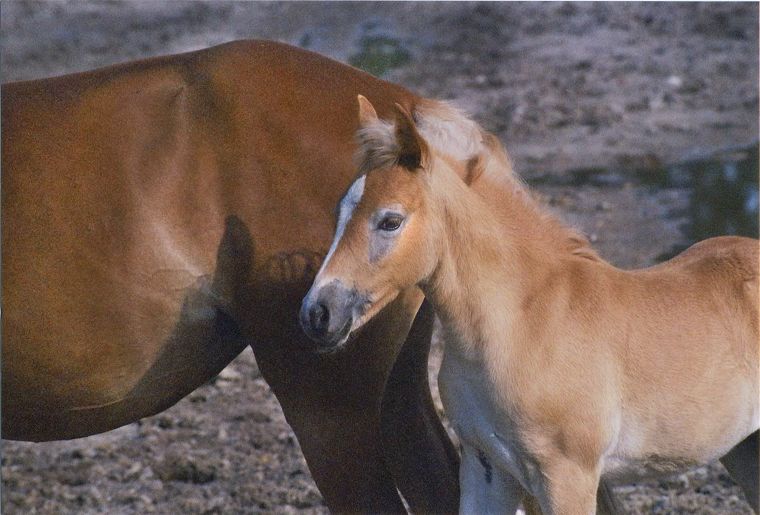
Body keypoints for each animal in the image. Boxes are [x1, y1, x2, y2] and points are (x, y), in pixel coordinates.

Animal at [300, 95, 759, 514]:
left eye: (390, 220)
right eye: (340, 212)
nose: (317, 313)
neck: (519, 326)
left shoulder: (567, 476)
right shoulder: (486, 469)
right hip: (743, 449)